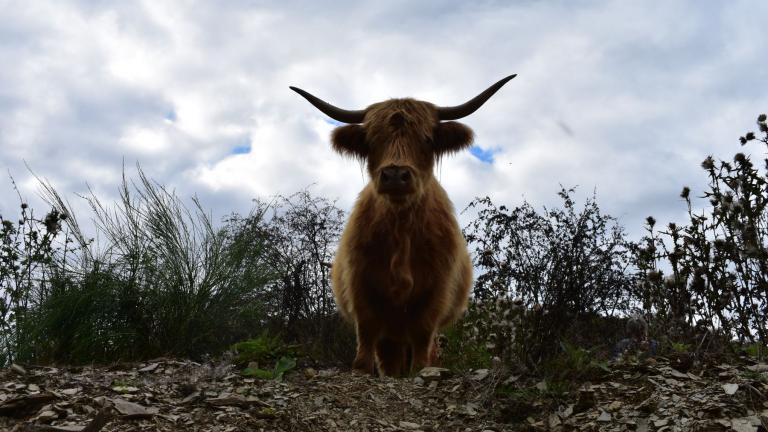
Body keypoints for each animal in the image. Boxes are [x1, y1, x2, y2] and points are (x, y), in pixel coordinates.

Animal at [292, 76, 520, 376]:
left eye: (427, 139)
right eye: (372, 141)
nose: (395, 175)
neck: (400, 228)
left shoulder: (435, 291)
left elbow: (422, 338)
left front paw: (421, 371)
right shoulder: (361, 285)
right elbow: (367, 336)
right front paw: (361, 370)